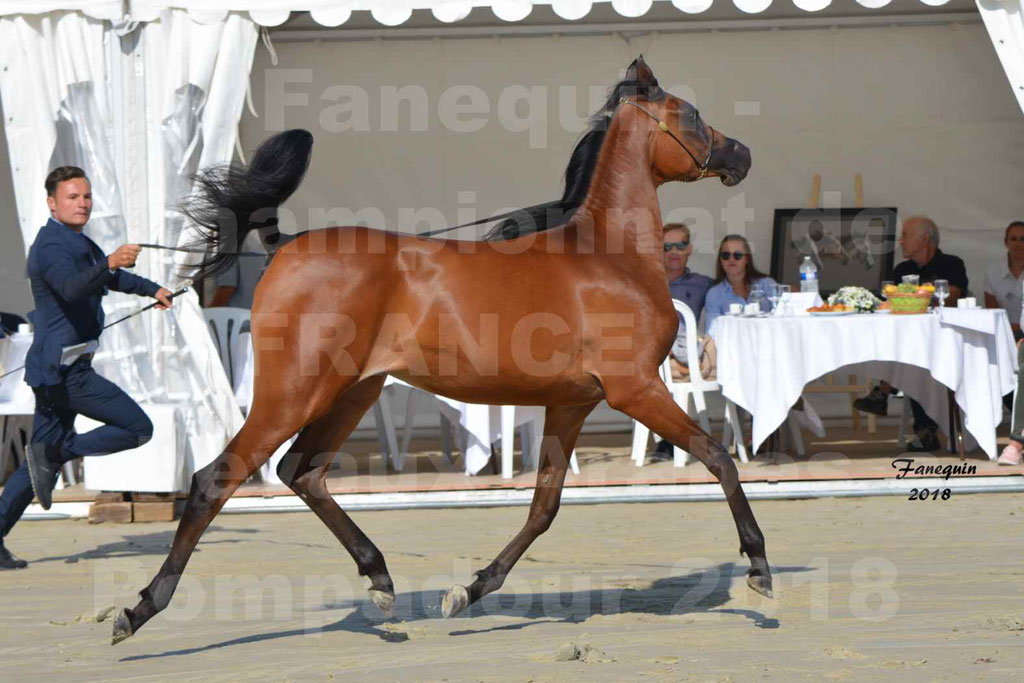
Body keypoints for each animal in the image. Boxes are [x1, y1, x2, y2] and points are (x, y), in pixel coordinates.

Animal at [110, 54, 770, 647]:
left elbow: (544, 506)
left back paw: (380, 580)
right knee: (216, 479)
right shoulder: (637, 388)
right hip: (294, 393)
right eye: (691, 115)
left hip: (353, 391)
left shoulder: (571, 403)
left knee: (302, 471)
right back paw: (138, 610)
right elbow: (719, 457)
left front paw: (467, 591)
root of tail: (288, 246)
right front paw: (759, 570)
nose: (741, 155)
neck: (609, 256)